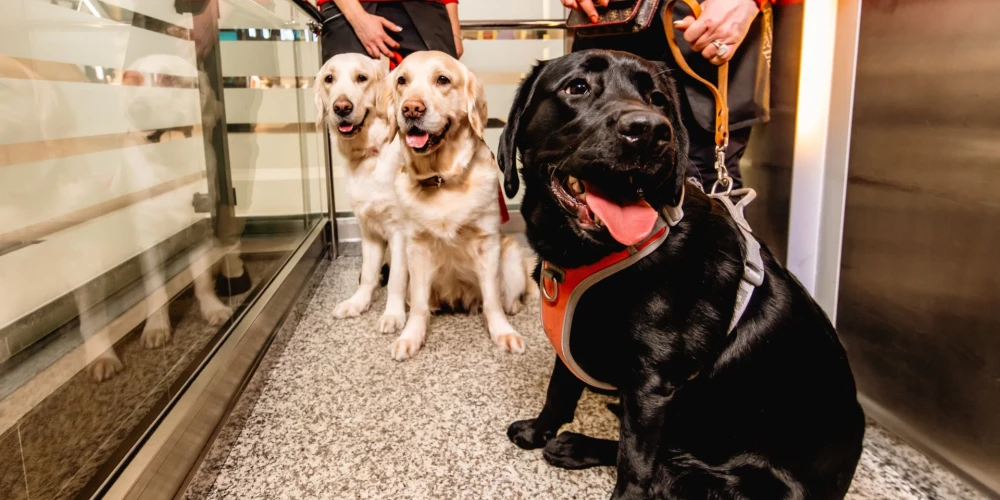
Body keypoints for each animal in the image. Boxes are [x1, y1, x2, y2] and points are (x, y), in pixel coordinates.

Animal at [378, 52, 536, 362]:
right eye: (402, 80)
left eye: (443, 79)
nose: (411, 109)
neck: (441, 180)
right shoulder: (416, 246)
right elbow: (418, 306)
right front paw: (411, 337)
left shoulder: (487, 243)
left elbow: (492, 299)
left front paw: (503, 333)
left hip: (511, 255)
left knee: (509, 293)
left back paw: (513, 306)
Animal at [500, 48, 868, 498]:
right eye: (577, 87)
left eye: (658, 100)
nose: (649, 131)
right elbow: (559, 390)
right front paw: (539, 431)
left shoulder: (652, 385)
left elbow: (635, 465)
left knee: (664, 467)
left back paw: (581, 447)